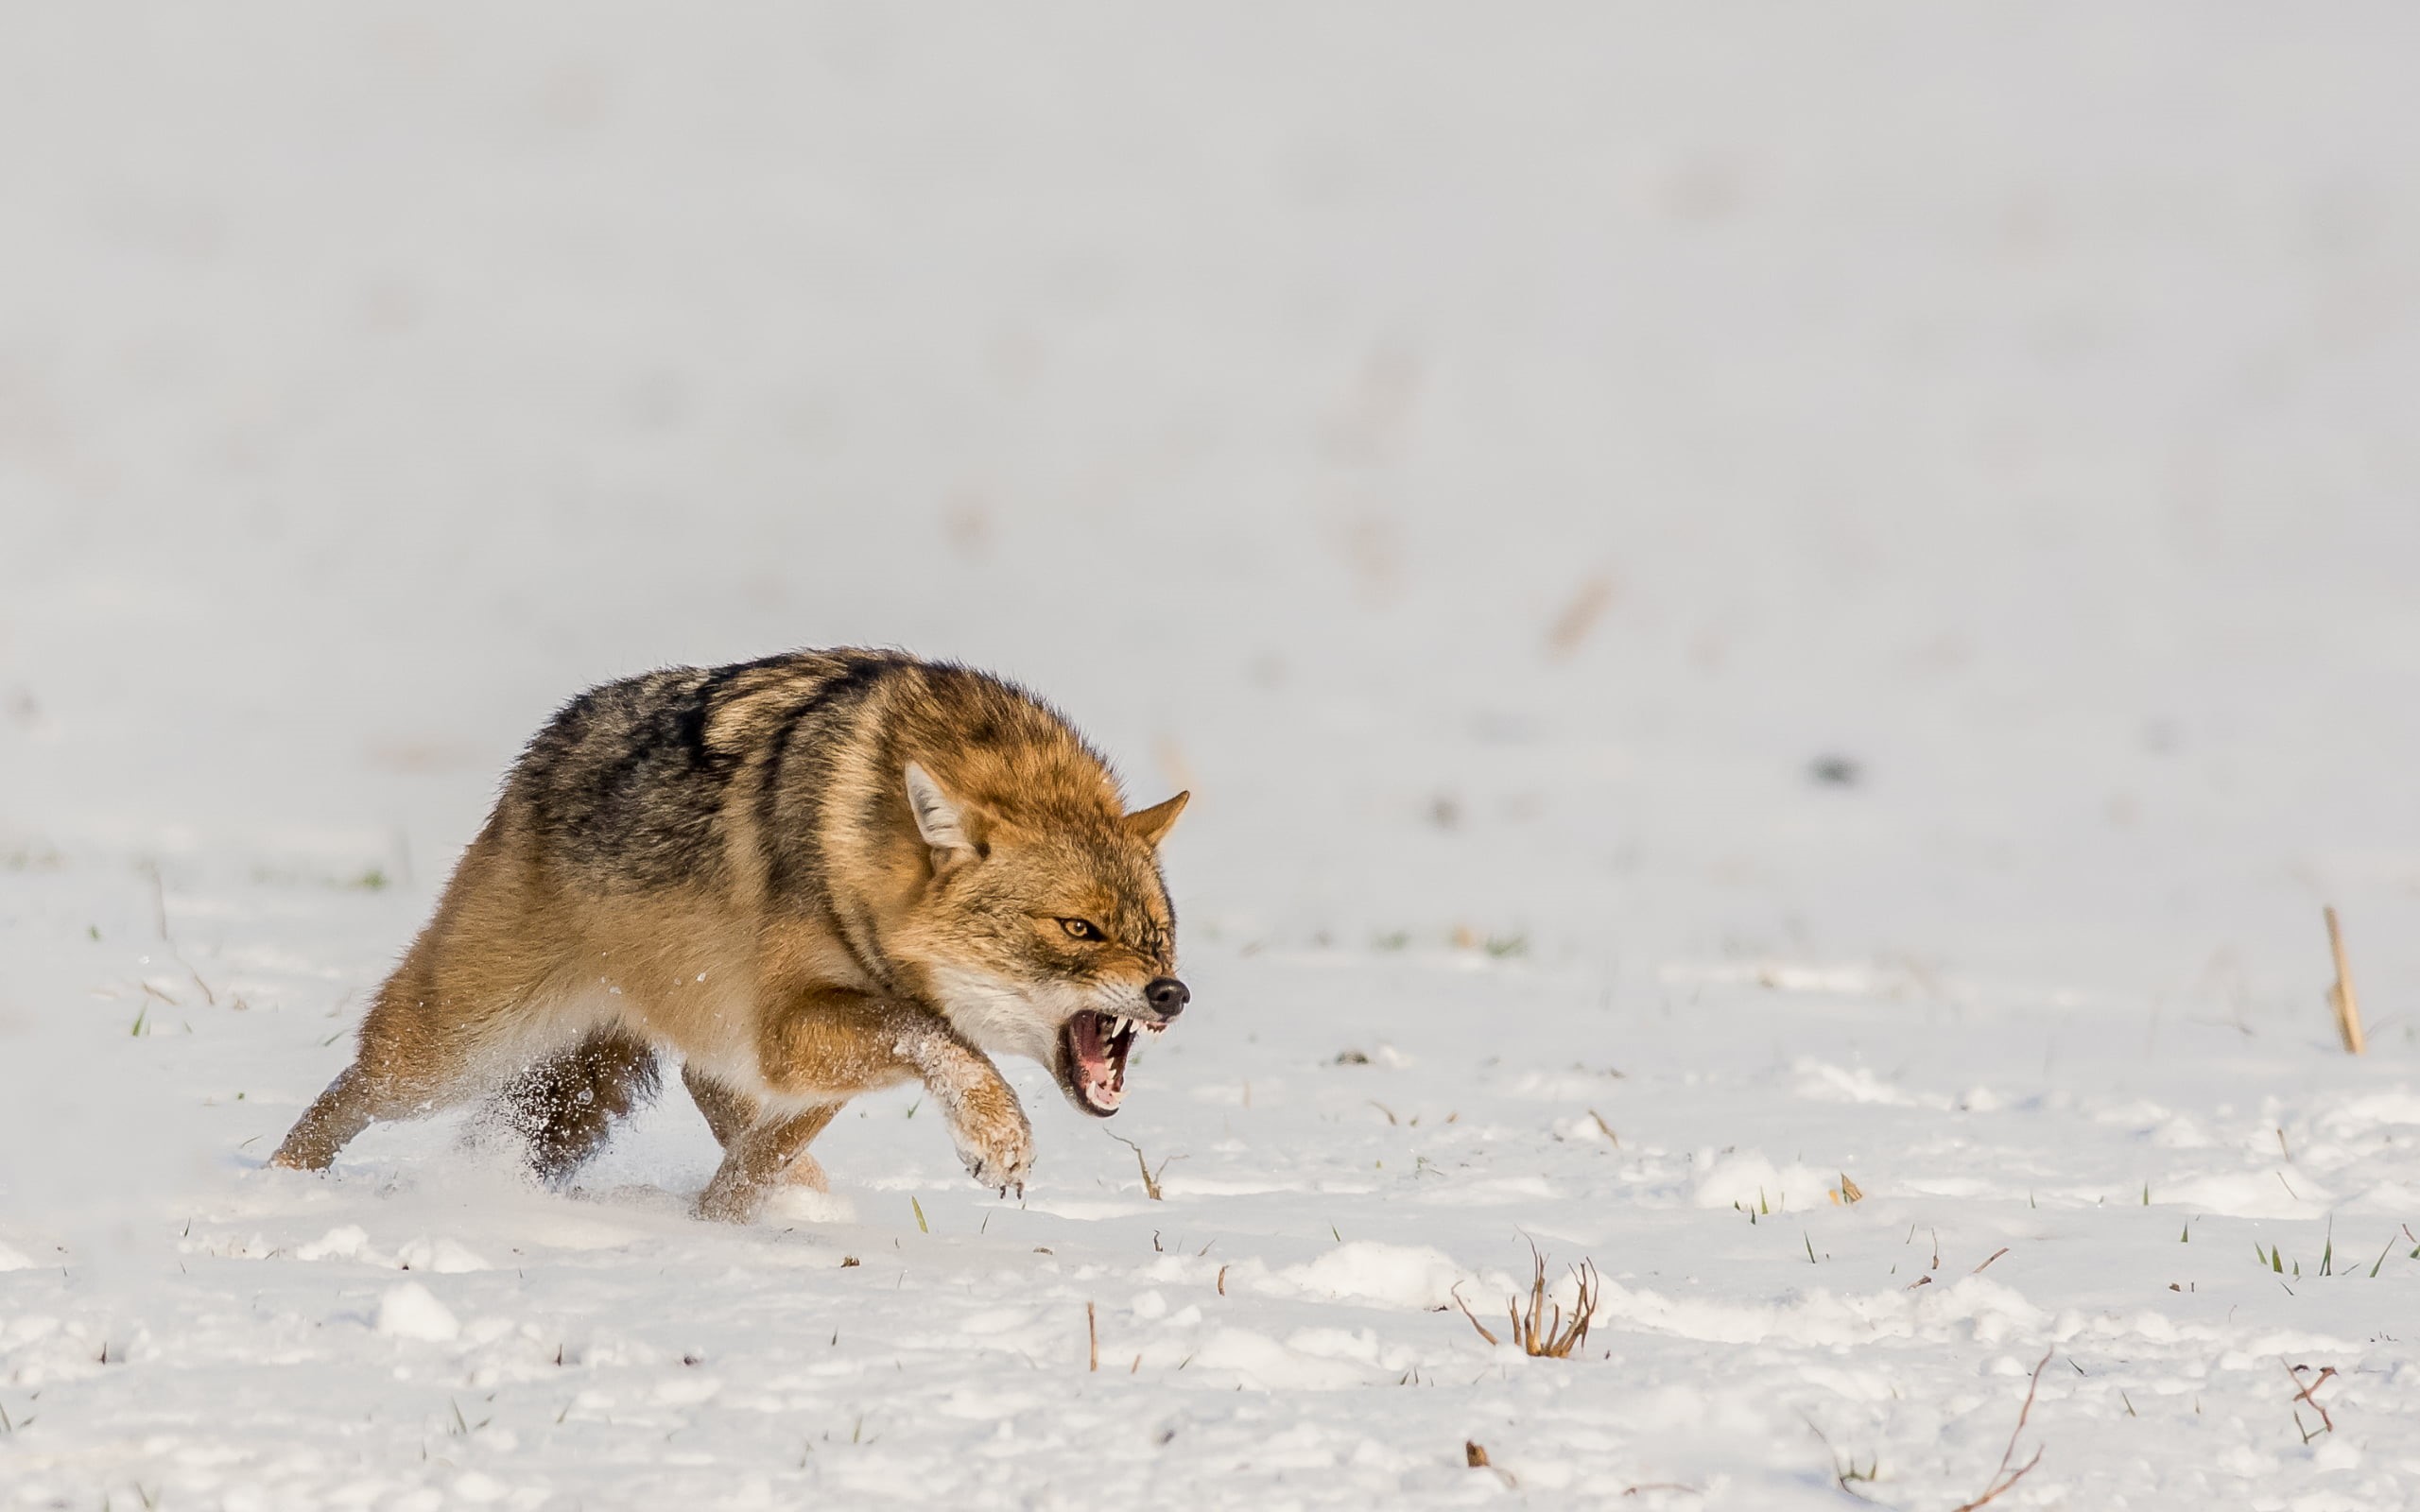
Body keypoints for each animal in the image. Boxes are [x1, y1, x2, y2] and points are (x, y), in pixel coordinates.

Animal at [270, 649, 1189, 1221]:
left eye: (1159, 937)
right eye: (1079, 928)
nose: (1171, 995)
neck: (864, 846)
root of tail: (542, 749)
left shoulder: (799, 1053)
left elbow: (773, 1144)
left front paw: (718, 1223)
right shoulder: (794, 1031)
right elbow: (943, 1043)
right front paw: (999, 1137)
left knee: (709, 1088)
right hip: (450, 1054)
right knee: (350, 1089)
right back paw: (272, 1193)